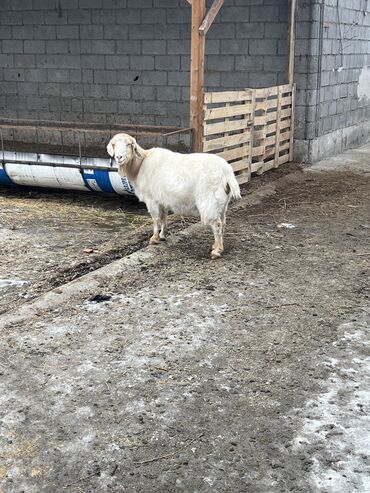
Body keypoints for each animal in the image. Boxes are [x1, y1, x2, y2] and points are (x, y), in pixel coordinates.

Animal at [106, 133, 240, 260]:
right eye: (113, 144)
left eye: (128, 144)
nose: (119, 157)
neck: (141, 164)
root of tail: (227, 172)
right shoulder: (162, 199)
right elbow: (164, 217)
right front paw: (163, 235)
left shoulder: (151, 200)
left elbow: (155, 219)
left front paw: (154, 238)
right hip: (221, 204)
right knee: (223, 222)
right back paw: (217, 245)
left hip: (209, 202)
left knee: (216, 224)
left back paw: (216, 251)